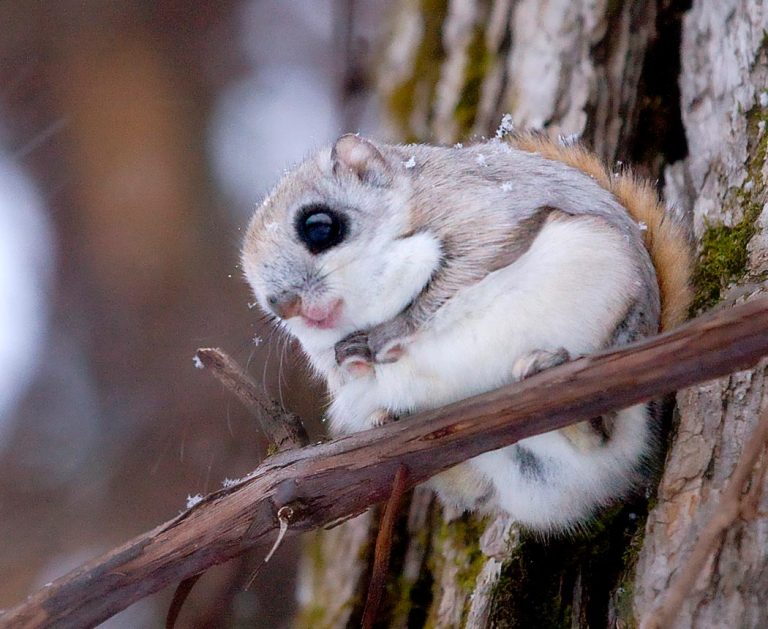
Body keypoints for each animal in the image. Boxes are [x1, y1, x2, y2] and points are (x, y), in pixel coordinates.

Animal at [243, 131, 692, 528]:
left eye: (319, 226)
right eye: (263, 300)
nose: (283, 305)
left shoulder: (480, 216)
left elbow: (456, 277)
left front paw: (387, 335)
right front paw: (353, 361)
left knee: (604, 431)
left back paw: (555, 377)